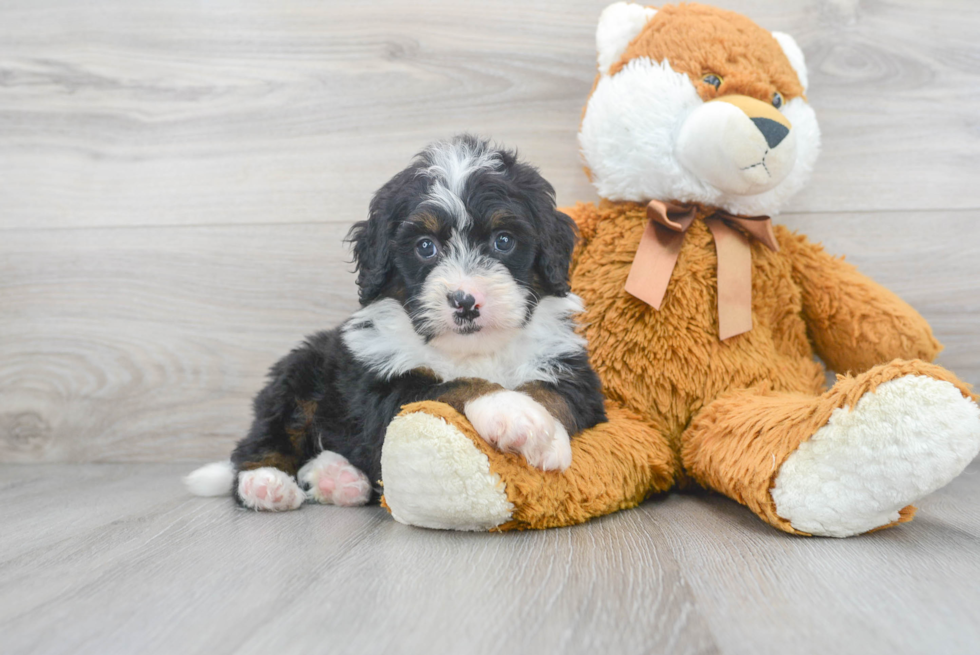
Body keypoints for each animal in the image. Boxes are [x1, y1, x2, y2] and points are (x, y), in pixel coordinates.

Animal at [184, 135, 604, 512]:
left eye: (503, 240)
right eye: (425, 247)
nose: (465, 301)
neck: (472, 350)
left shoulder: (574, 374)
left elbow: (554, 394)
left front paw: (543, 432)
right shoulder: (383, 390)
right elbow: (452, 387)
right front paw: (513, 412)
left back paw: (338, 479)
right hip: (296, 377)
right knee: (264, 439)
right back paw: (265, 483)